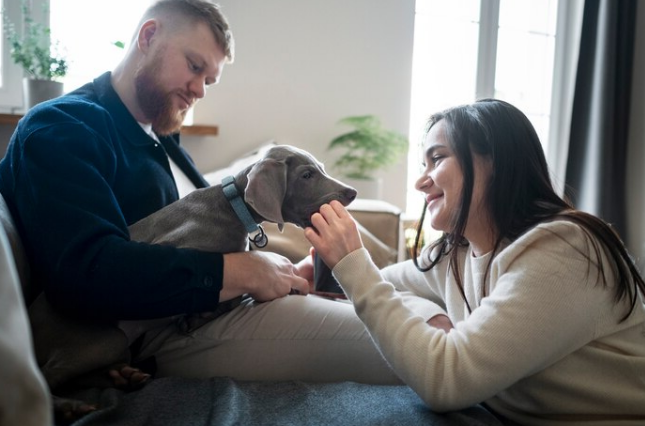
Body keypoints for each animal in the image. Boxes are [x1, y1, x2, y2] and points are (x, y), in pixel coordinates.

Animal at [28, 145, 358, 422]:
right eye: (306, 175)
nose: (352, 192)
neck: (233, 206)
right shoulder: (173, 253)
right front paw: (199, 314)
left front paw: (199, 316)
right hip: (105, 338)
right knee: (46, 375)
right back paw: (70, 405)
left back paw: (122, 376)